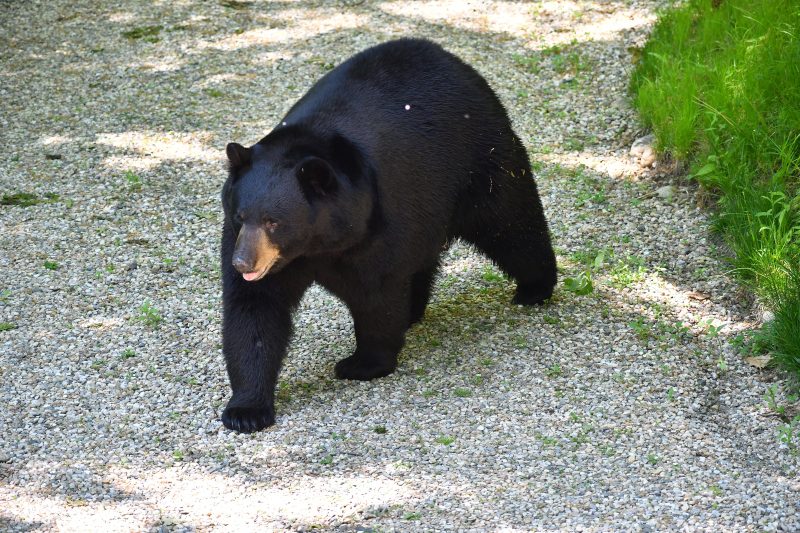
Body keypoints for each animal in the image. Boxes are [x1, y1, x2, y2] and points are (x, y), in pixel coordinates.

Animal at [220, 38, 557, 433]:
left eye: (273, 221)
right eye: (240, 216)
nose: (243, 262)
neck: (318, 243)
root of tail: (451, 58)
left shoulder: (376, 221)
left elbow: (377, 292)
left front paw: (363, 363)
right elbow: (254, 310)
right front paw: (245, 410)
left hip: (481, 161)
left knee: (512, 224)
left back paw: (536, 286)